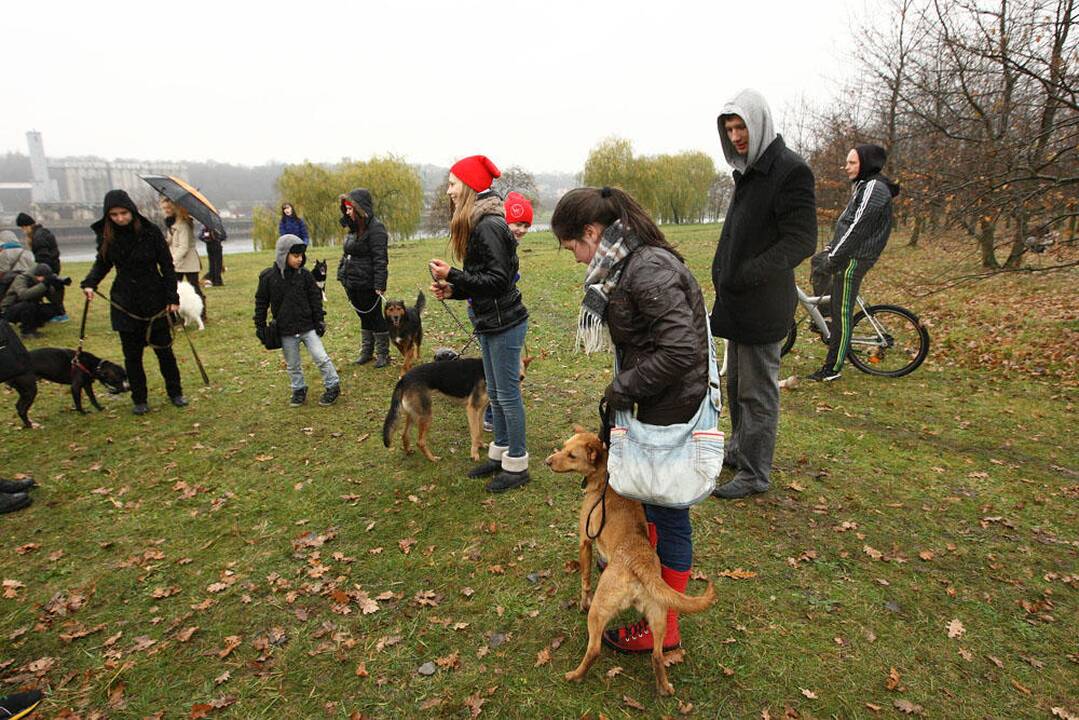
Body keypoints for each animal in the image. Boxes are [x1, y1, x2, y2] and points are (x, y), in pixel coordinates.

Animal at [548, 427, 716, 699]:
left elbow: (585, 579)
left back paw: (575, 675)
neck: (604, 478)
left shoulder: (585, 541)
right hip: (658, 616)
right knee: (657, 655)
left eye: (572, 455)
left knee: (594, 649)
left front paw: (582, 600)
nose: (547, 461)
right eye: (563, 447)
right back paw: (664, 687)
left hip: (599, 611)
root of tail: (640, 562)